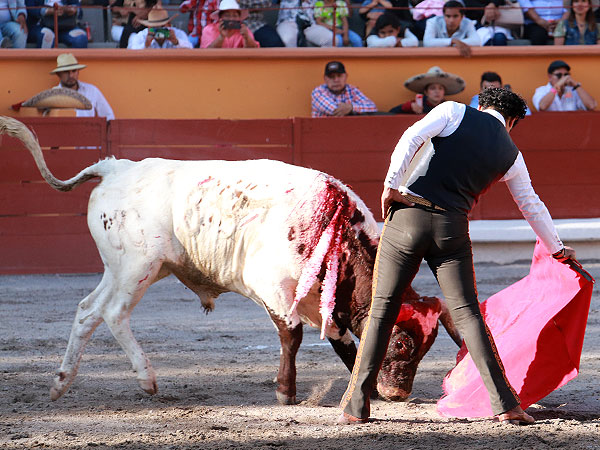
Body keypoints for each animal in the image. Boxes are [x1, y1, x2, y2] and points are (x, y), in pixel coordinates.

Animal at [0, 116, 462, 404]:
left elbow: (343, 338)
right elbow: (292, 334)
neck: (332, 230)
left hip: (122, 268)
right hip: (138, 268)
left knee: (87, 310)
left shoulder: (322, 299)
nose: (399, 393)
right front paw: (285, 392)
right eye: (401, 343)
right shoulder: (272, 286)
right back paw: (146, 379)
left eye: (428, 346)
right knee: (113, 313)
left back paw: (60, 384)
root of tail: (115, 168)